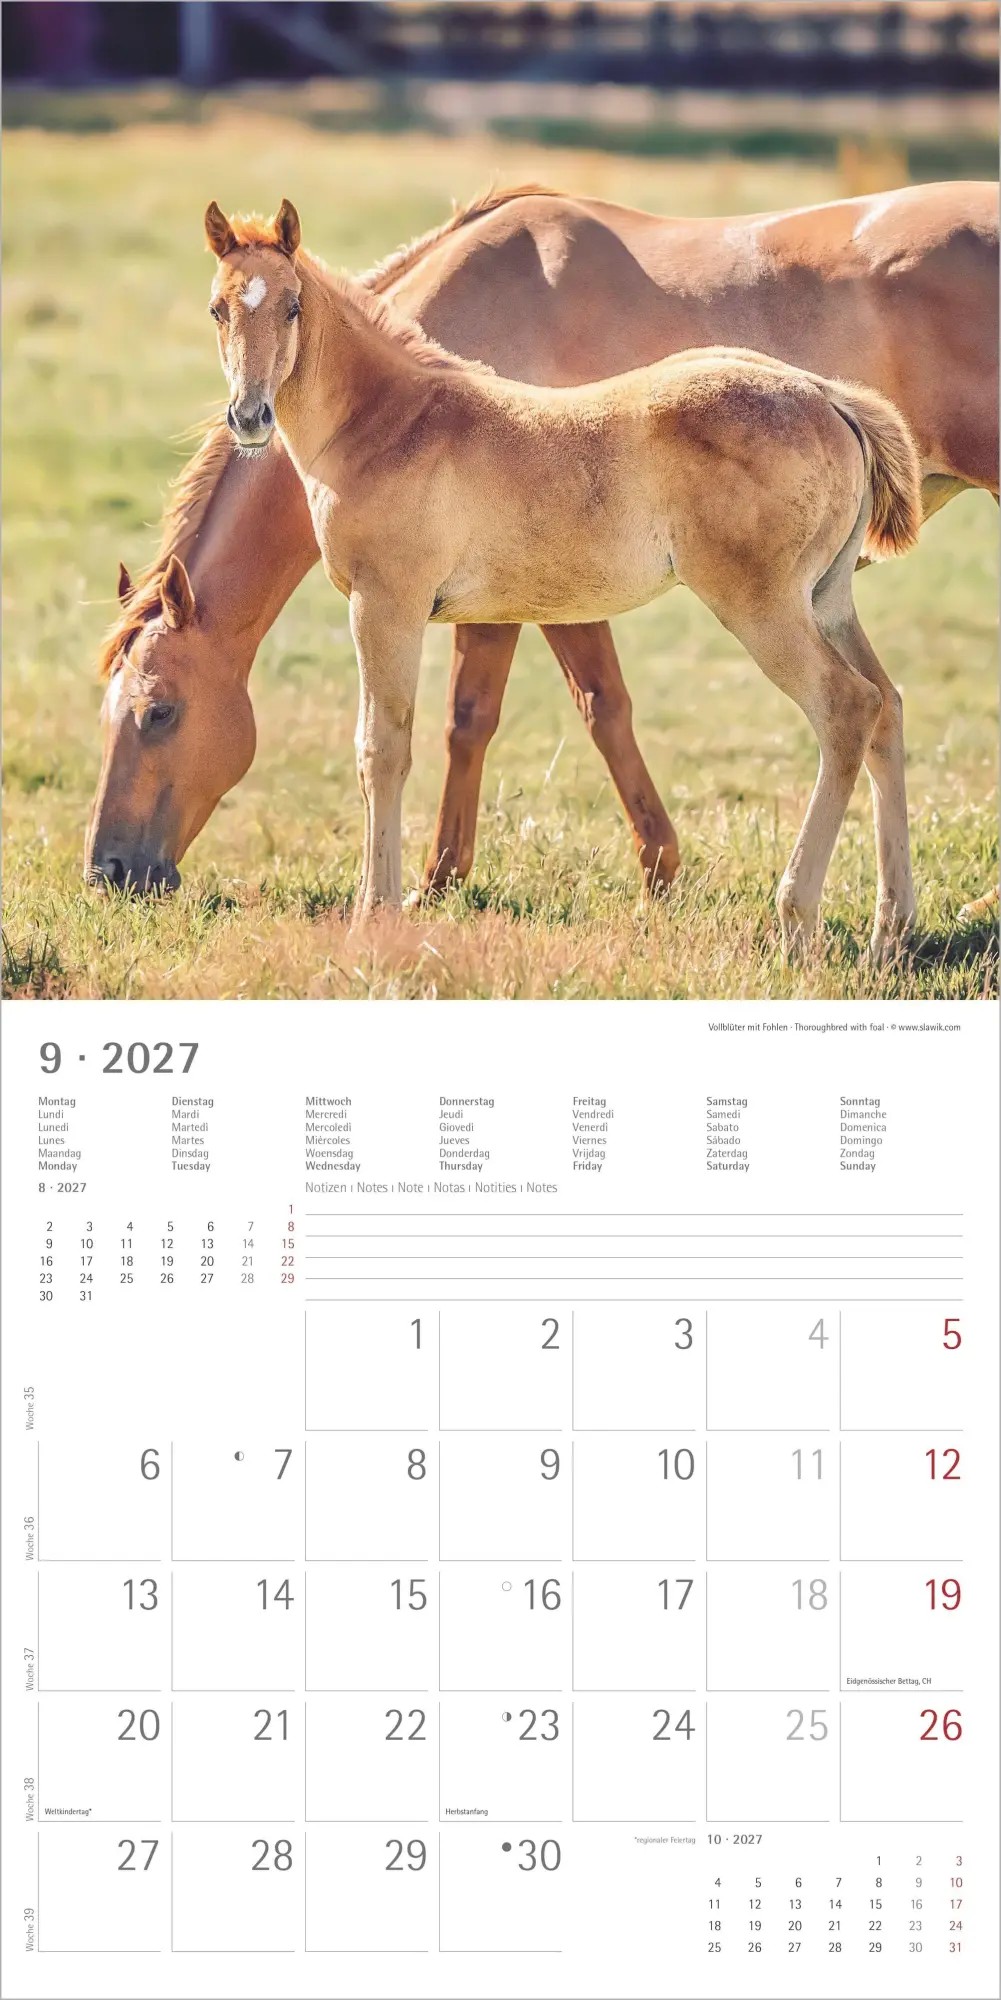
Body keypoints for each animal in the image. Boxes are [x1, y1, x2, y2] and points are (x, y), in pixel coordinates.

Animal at [86, 178, 997, 903]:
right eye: (215, 308)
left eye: (160, 712)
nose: (111, 873)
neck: (395, 420)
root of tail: (826, 395)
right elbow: (535, 716)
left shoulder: (391, 607)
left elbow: (396, 744)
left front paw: (388, 906)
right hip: (827, 599)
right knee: (885, 707)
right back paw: (889, 925)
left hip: (764, 608)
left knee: (845, 709)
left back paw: (797, 918)